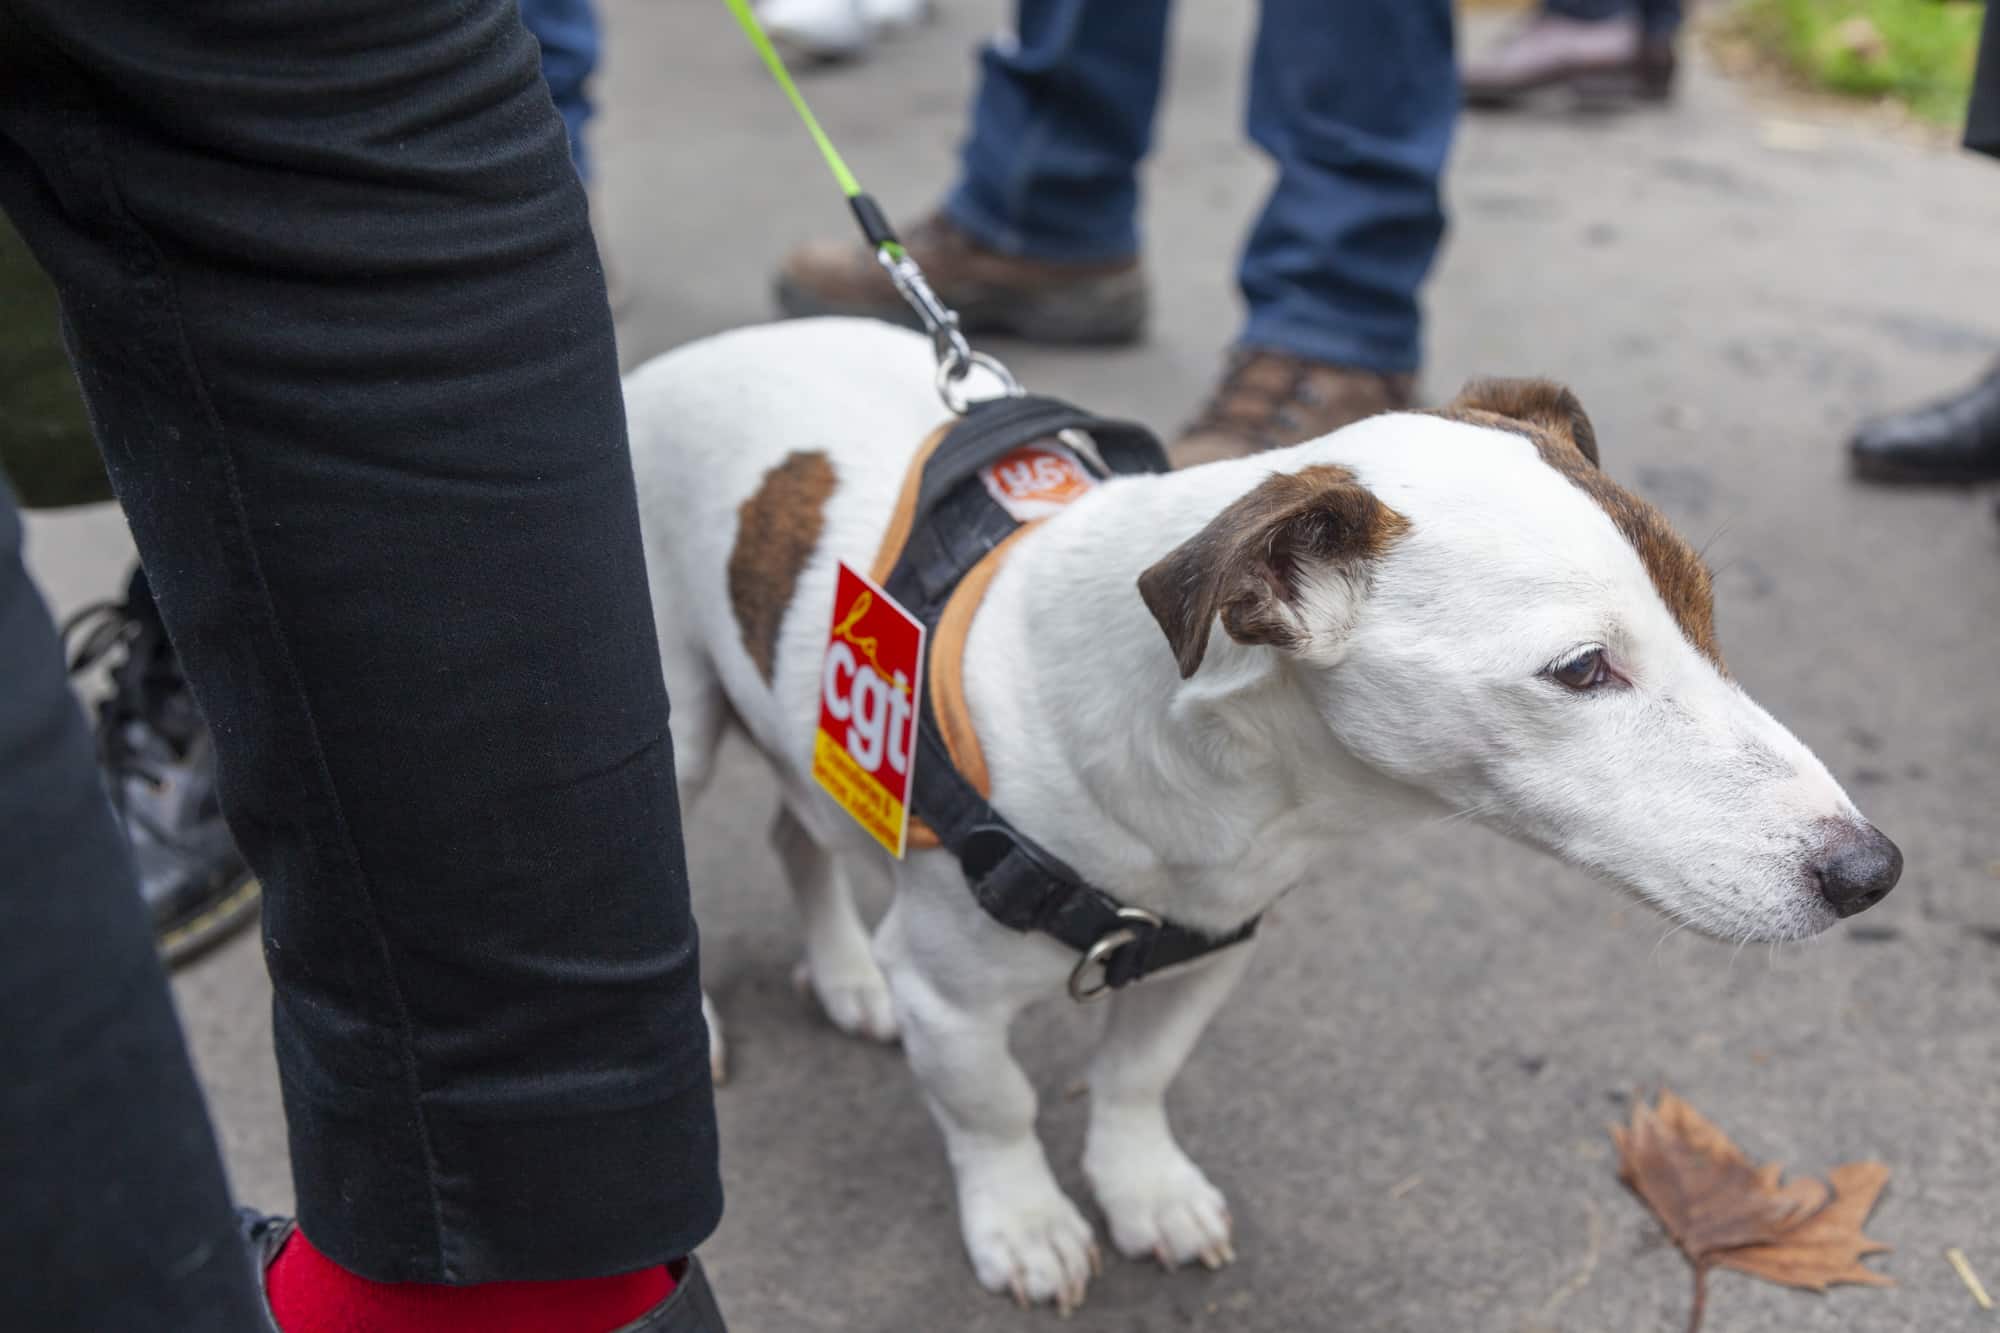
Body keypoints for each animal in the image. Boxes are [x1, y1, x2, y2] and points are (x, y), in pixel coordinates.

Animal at [628, 314, 1904, 1304]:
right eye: (1582, 670)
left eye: (1702, 611)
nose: (1869, 871)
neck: (1220, 775)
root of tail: (686, 354)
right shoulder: (950, 994)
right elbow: (991, 1106)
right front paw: (1024, 1218)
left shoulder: (1206, 946)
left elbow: (1136, 1076)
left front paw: (1141, 1185)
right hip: (675, 729)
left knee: (796, 827)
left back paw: (844, 971)